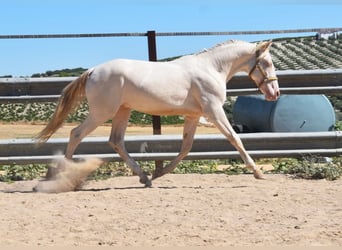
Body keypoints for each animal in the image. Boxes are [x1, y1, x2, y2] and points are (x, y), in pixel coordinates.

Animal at [37, 40, 280, 187]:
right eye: (267, 62)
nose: (275, 93)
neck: (211, 68)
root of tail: (93, 70)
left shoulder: (193, 116)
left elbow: (186, 147)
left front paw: (159, 173)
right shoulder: (214, 110)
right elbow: (234, 138)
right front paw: (258, 172)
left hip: (122, 111)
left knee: (116, 140)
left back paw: (145, 177)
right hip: (102, 112)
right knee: (76, 134)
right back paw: (60, 177)